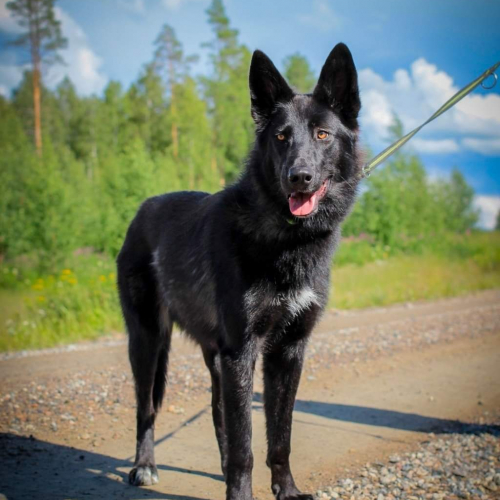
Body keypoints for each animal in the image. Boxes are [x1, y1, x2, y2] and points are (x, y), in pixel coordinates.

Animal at [117, 44, 360, 500]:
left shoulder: (287, 353)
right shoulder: (243, 351)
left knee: (218, 416)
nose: (298, 177)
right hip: (148, 343)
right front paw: (243, 491)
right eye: (281, 137)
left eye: (322, 135)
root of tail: (142, 209)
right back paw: (144, 466)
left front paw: (286, 489)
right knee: (147, 409)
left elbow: (279, 437)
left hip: (216, 360)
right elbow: (246, 444)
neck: (288, 239)